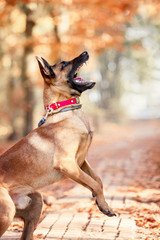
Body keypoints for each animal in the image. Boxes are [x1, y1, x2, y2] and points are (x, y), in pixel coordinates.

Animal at [0, 51, 115, 239]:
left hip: (35, 202)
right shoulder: (68, 164)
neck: (67, 111)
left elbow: (97, 180)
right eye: (64, 64)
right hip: (7, 212)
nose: (85, 52)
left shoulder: (80, 161)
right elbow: (95, 182)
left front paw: (100, 201)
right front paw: (104, 206)